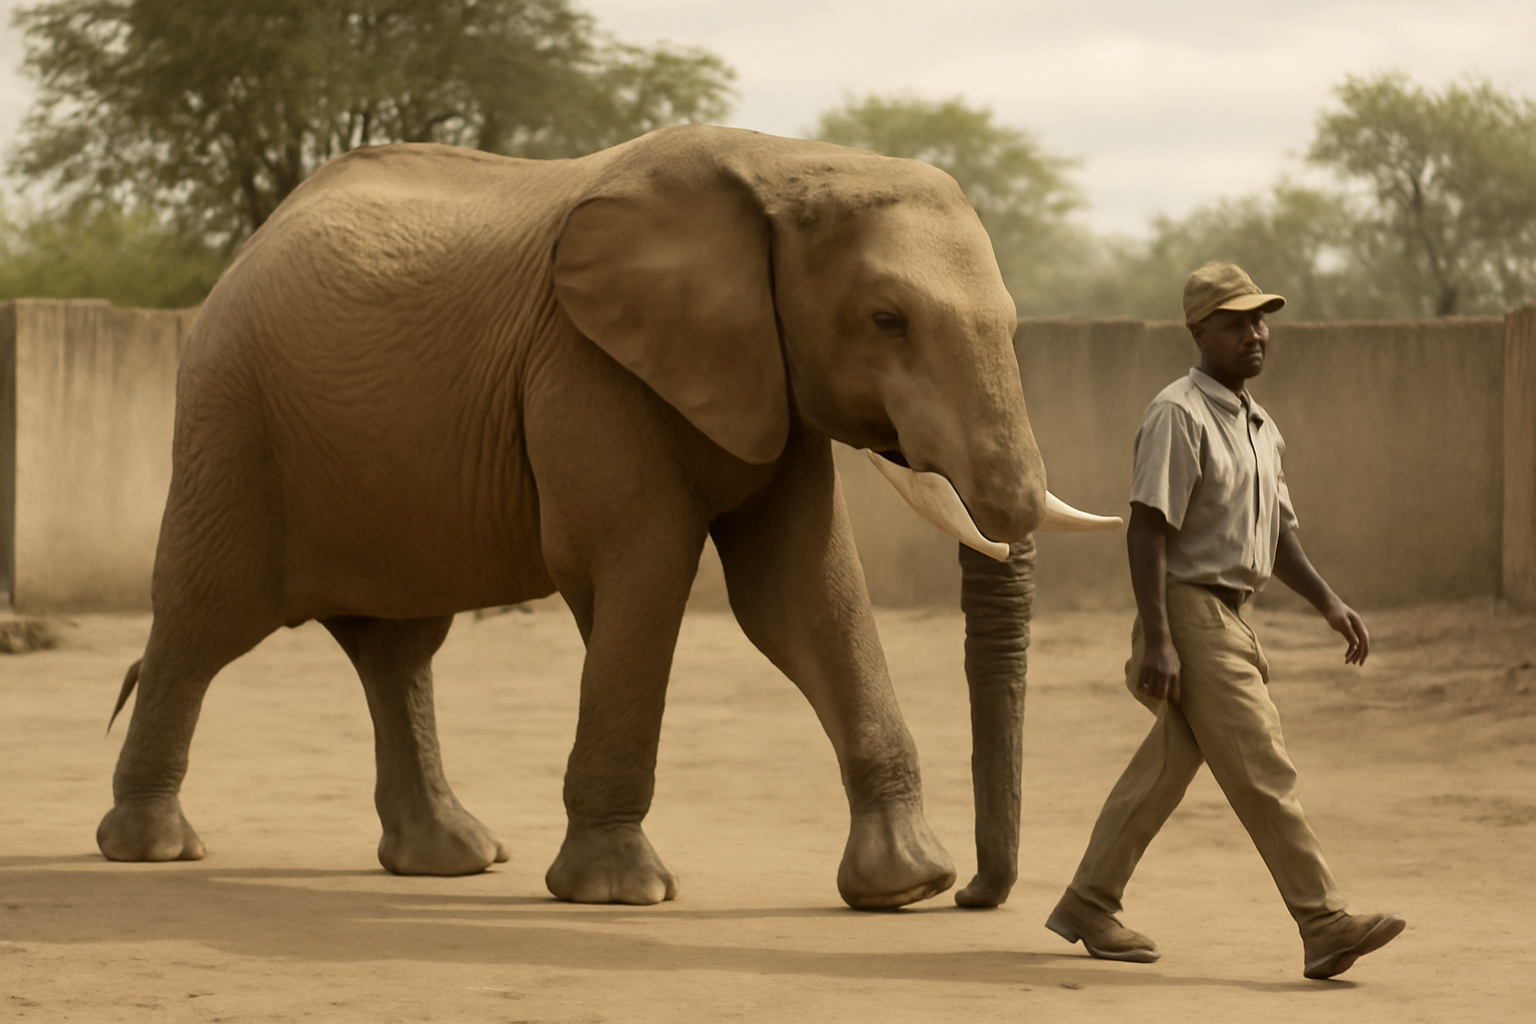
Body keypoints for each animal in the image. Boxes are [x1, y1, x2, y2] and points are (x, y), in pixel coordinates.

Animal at [96, 123, 1115, 908]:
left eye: (1011, 324)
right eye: (887, 320)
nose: (981, 893)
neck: (784, 162)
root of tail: (251, 245)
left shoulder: (770, 388)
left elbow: (802, 596)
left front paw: (904, 886)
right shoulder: (583, 364)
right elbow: (644, 570)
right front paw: (621, 892)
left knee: (399, 648)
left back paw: (451, 860)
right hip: (232, 412)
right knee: (206, 618)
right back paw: (152, 848)